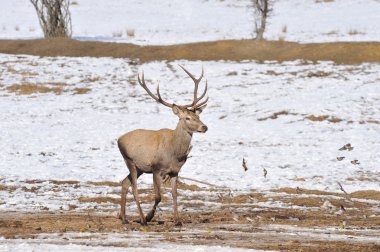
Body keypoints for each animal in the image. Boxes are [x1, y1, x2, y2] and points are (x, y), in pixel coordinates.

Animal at [118, 65, 209, 226]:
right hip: (129, 160)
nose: (204, 127)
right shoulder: (156, 168)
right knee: (134, 188)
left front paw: (177, 220)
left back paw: (124, 218)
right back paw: (142, 219)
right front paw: (149, 216)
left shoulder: (175, 171)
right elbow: (158, 196)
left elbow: (174, 194)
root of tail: (118, 139)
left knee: (124, 183)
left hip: (140, 168)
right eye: (187, 118)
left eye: (198, 116)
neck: (175, 154)